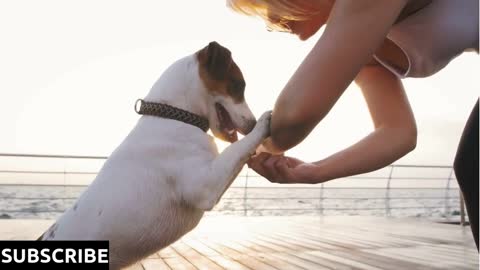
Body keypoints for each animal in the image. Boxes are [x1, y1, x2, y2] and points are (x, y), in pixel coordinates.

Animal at [36, 41, 272, 268]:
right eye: (239, 85)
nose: (251, 124)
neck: (174, 117)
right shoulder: (206, 186)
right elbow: (238, 148)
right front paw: (264, 122)